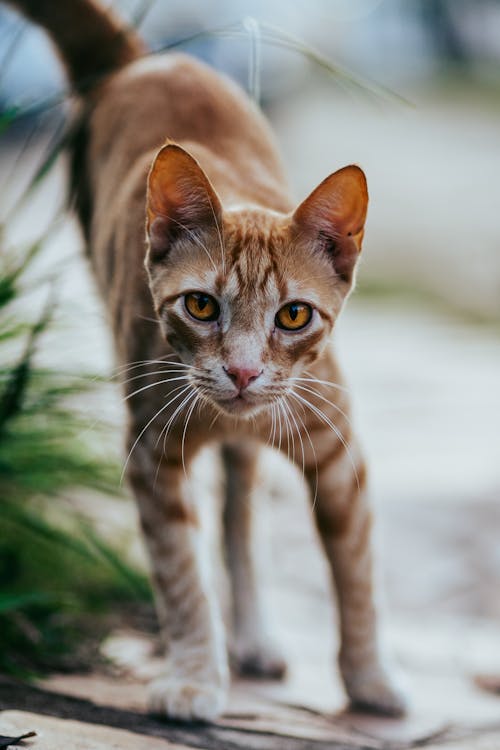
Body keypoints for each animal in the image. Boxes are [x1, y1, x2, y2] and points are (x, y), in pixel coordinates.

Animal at [8, 1, 406, 728]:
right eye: (200, 306)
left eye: (294, 316)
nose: (244, 373)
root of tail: (146, 59)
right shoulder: (151, 458)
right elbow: (182, 578)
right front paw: (195, 677)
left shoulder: (339, 457)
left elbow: (357, 574)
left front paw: (370, 678)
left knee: (240, 517)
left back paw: (254, 634)